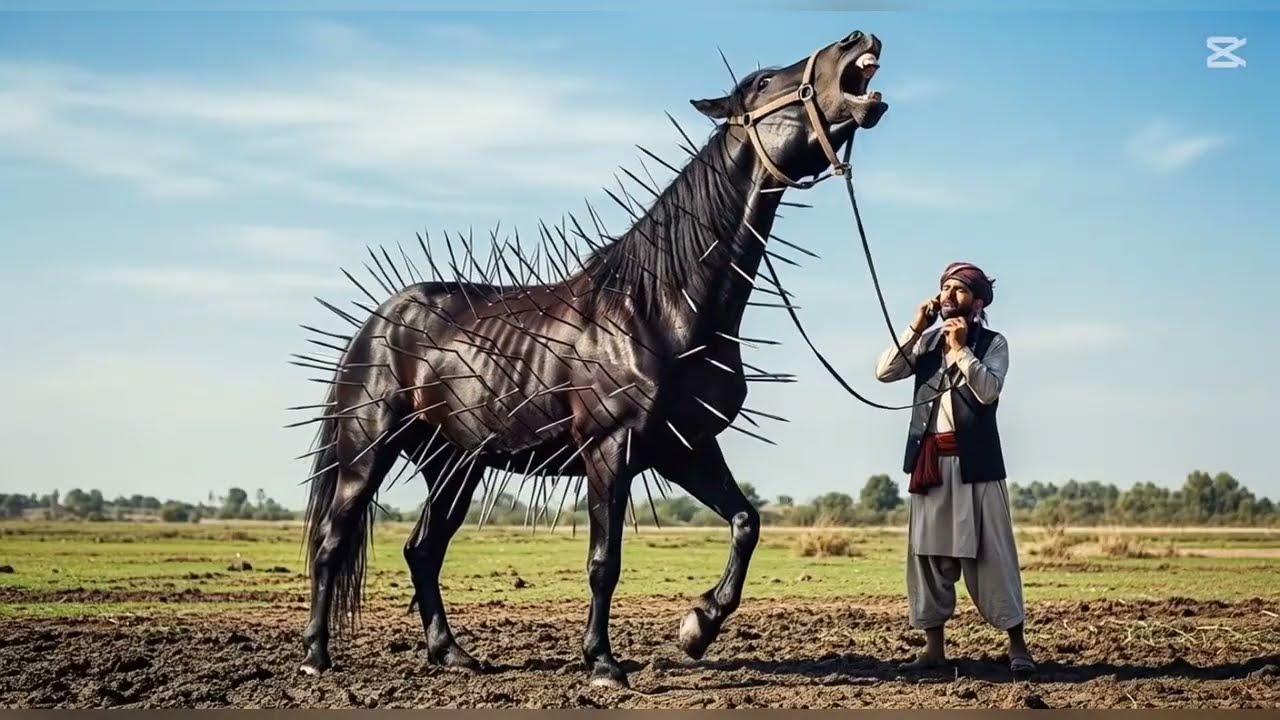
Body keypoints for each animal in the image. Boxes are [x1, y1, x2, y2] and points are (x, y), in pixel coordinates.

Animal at [293, 28, 888, 689]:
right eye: (760, 82)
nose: (855, 40)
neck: (661, 302)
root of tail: (378, 321)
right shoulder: (611, 446)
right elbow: (606, 560)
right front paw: (603, 662)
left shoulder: (683, 445)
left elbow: (746, 522)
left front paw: (697, 627)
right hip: (367, 448)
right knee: (333, 540)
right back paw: (317, 656)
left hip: (453, 463)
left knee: (422, 549)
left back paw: (452, 654)